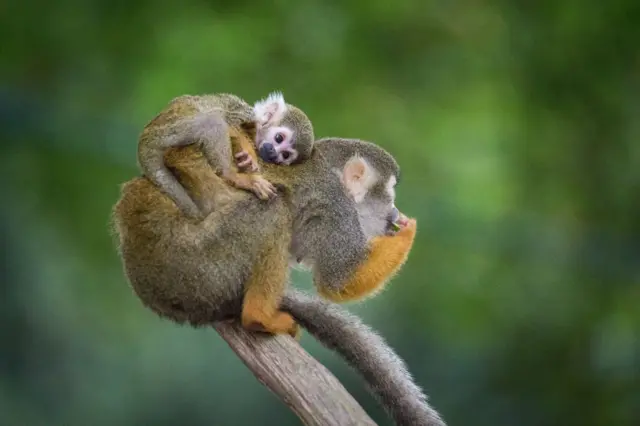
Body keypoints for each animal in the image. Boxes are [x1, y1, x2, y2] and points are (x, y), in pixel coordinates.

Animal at [138, 92, 312, 220]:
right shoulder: (244, 114)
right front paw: (249, 156)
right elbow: (229, 122)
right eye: (278, 138)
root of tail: (145, 139)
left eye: (285, 155)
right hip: (170, 131)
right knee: (213, 120)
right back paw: (232, 175)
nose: (273, 154)